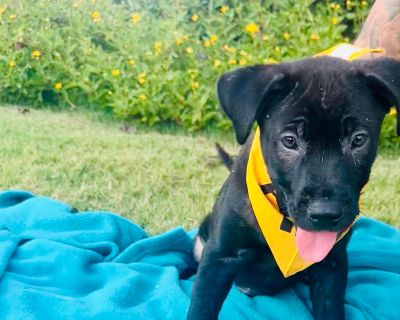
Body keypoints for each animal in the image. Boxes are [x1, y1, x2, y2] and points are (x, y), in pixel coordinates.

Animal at [188, 57, 400, 320]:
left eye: (359, 139)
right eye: (289, 141)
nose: (325, 214)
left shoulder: (332, 265)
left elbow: (330, 309)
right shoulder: (219, 257)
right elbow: (201, 307)